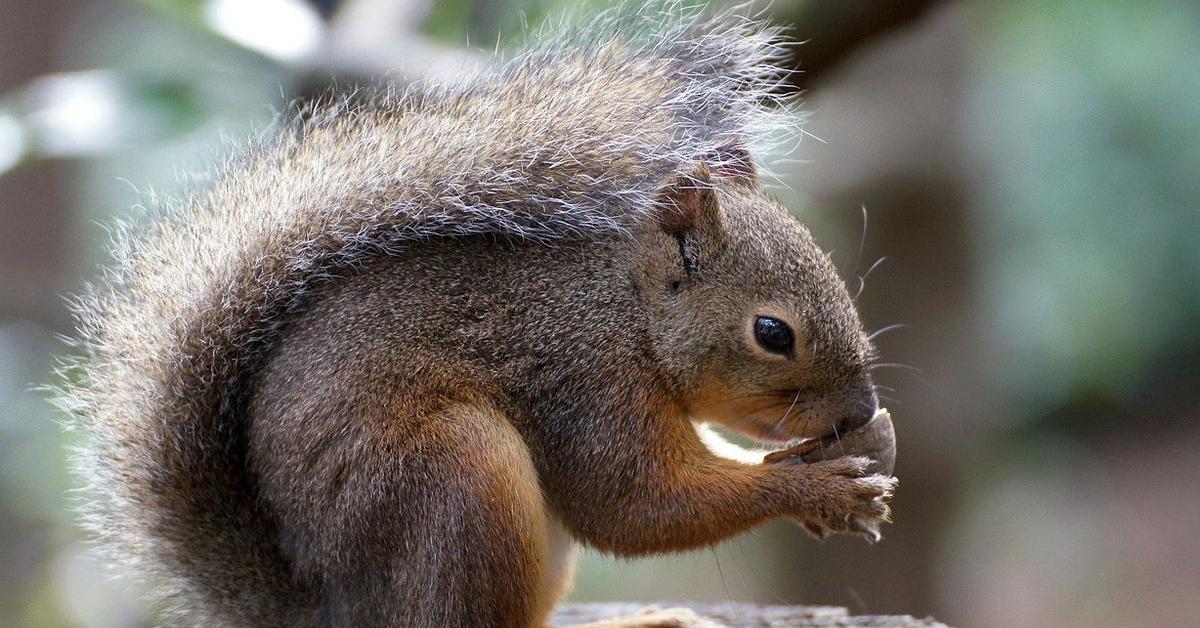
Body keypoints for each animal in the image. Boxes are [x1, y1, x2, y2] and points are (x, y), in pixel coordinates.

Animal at [58, 6, 902, 628]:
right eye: (773, 334)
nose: (862, 409)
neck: (628, 308)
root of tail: (335, 612)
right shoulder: (586, 377)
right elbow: (635, 507)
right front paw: (817, 489)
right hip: (456, 477)